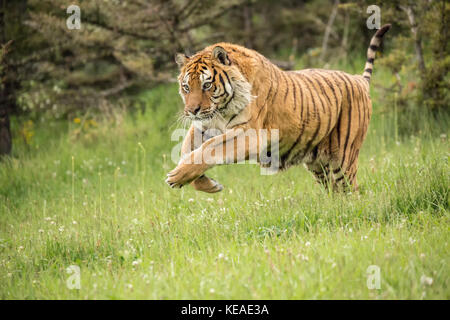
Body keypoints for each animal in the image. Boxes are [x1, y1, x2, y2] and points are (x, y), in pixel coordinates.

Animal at [165, 24, 390, 192]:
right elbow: (187, 149)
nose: (191, 111)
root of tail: (359, 80)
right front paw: (206, 184)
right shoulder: (203, 126)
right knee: (333, 189)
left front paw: (176, 176)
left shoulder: (249, 134)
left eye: (206, 85)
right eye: (186, 87)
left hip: (342, 157)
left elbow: (209, 149)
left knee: (350, 190)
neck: (220, 111)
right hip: (318, 163)